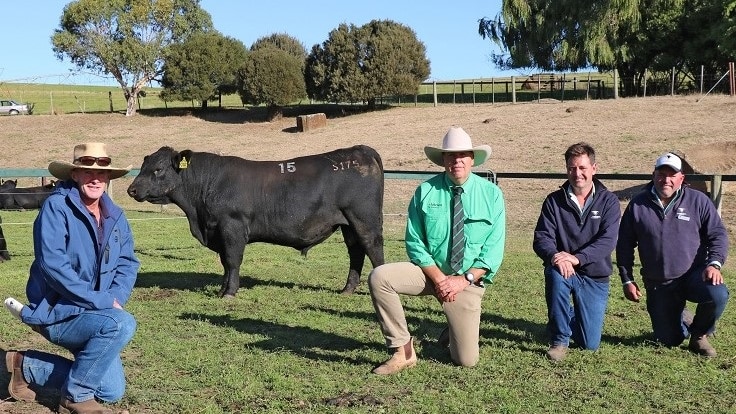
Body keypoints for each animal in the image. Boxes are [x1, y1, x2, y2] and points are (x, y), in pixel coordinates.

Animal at [127, 146, 388, 298]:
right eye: (144, 166)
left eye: (158, 169)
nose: (131, 189)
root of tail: (360, 150)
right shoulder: (218, 231)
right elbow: (224, 263)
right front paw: (222, 289)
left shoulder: (232, 226)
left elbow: (232, 260)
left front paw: (230, 293)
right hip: (348, 224)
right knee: (356, 252)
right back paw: (347, 290)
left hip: (364, 218)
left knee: (373, 248)